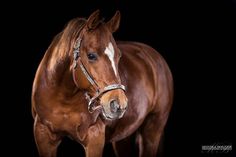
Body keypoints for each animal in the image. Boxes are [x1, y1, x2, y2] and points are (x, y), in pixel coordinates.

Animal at [31, 10, 173, 157]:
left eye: (118, 56)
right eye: (91, 55)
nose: (119, 104)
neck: (63, 97)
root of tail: (155, 57)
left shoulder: (95, 136)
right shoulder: (43, 134)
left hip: (152, 129)